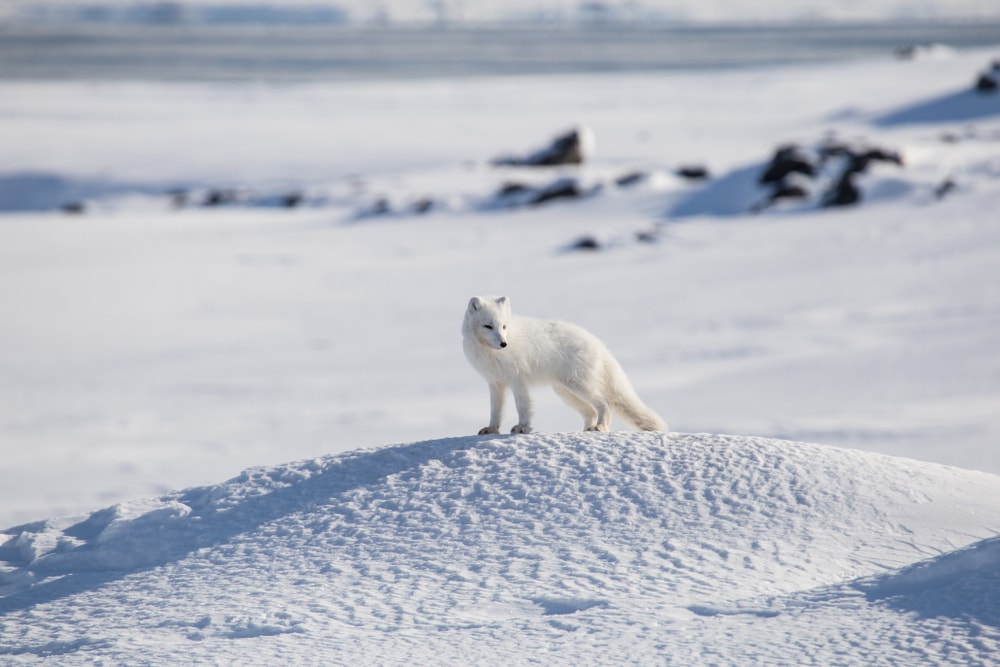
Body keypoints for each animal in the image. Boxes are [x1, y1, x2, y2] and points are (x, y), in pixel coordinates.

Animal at [462, 295, 668, 435]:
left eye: (504, 326)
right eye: (488, 326)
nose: (504, 343)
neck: (490, 353)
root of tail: (598, 343)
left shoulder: (517, 379)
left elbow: (523, 406)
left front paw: (523, 427)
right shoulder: (495, 383)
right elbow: (495, 411)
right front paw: (491, 429)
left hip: (578, 385)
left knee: (603, 403)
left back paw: (600, 427)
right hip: (565, 392)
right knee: (590, 412)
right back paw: (586, 429)